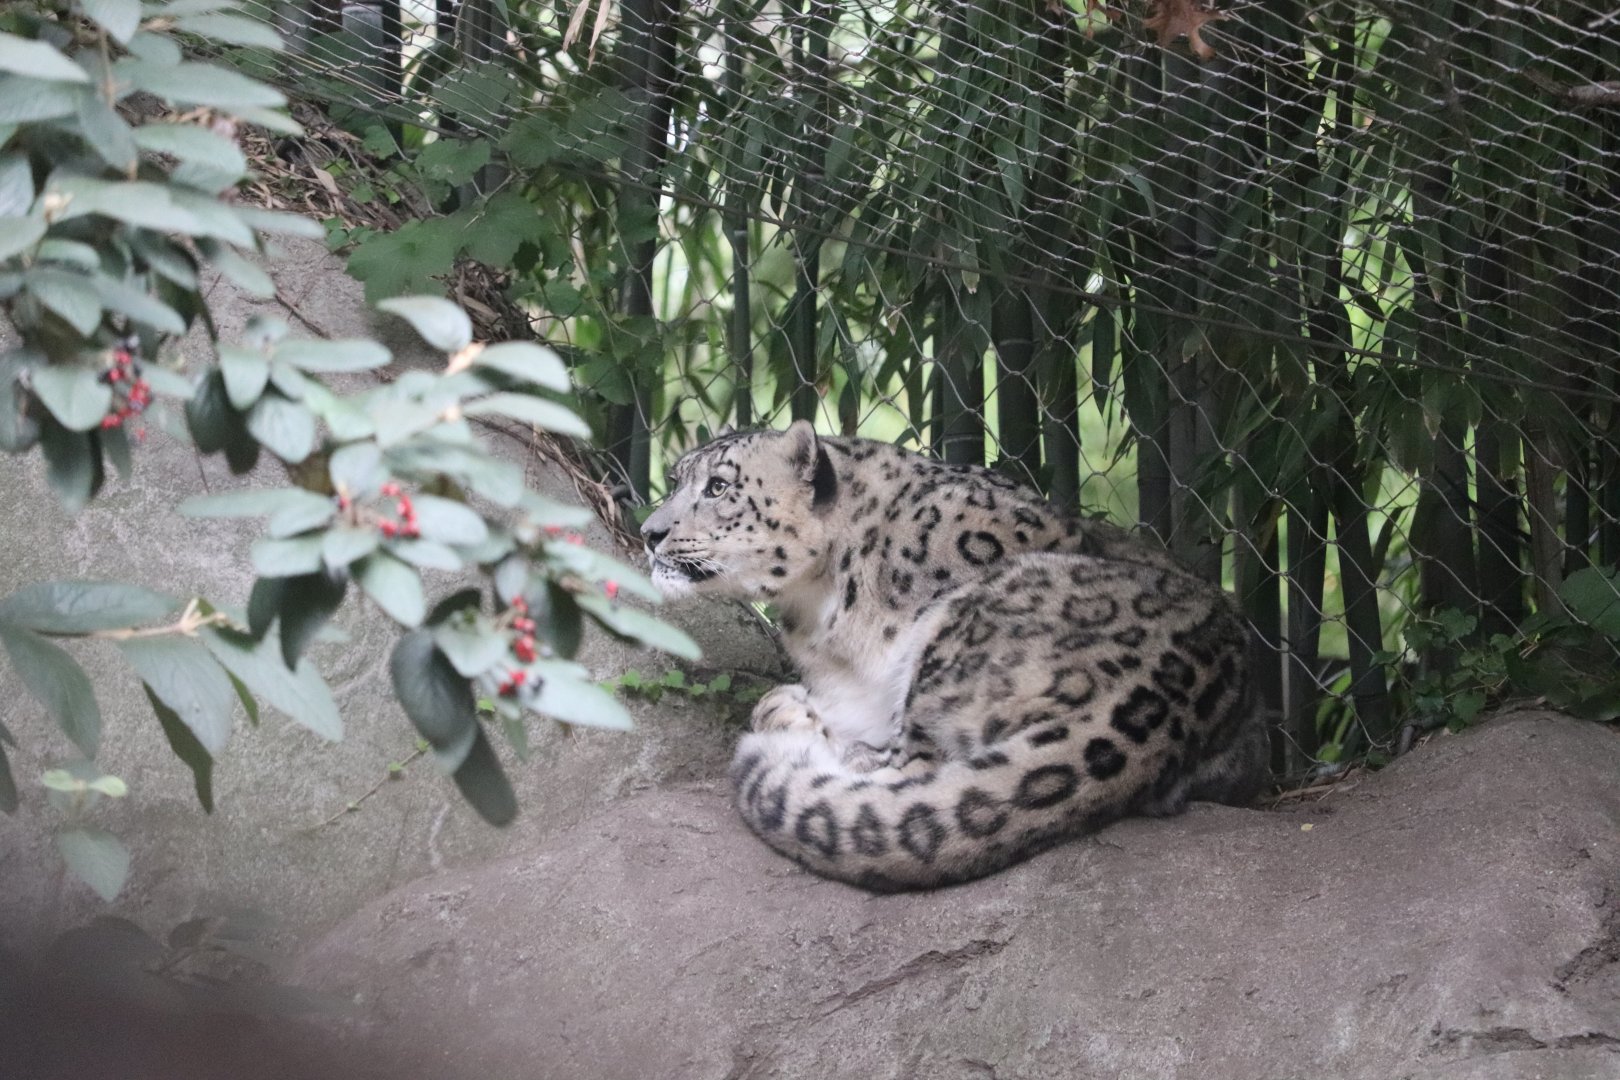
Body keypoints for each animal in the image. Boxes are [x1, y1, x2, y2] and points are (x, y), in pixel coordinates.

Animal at [640, 420, 1267, 891]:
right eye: (676, 479)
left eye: (719, 487)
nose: (649, 532)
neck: (822, 612)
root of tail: (1156, 703)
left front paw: (788, 708)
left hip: (957, 630)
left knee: (912, 767)